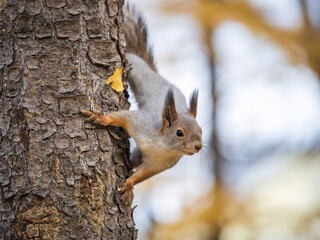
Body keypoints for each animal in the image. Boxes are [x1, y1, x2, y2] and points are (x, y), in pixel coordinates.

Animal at [82, 5, 202, 205]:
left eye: (201, 130)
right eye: (179, 133)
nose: (198, 146)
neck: (162, 146)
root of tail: (159, 77)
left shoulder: (158, 165)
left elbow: (143, 175)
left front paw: (129, 185)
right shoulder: (140, 123)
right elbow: (122, 117)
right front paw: (102, 118)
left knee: (135, 161)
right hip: (139, 72)